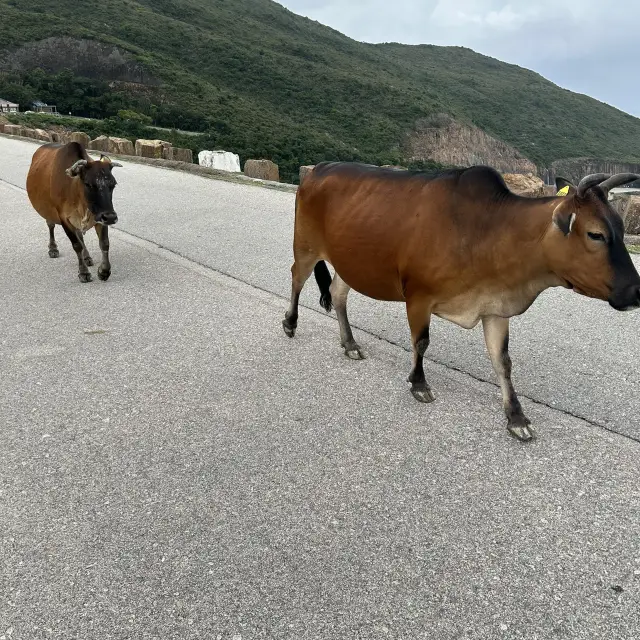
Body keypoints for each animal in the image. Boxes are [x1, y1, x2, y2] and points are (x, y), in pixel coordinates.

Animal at [26, 142, 121, 283]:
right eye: (88, 184)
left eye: (113, 184)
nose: (110, 217)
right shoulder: (64, 218)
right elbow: (76, 245)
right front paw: (83, 272)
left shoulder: (100, 217)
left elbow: (104, 243)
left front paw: (104, 271)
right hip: (49, 211)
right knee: (51, 225)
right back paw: (53, 248)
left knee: (80, 235)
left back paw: (87, 257)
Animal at [282, 162, 640, 442]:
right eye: (596, 234)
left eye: (622, 229)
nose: (636, 292)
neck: (487, 235)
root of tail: (317, 169)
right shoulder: (418, 296)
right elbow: (421, 342)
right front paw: (419, 383)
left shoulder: (495, 308)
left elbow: (503, 362)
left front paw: (516, 417)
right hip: (306, 245)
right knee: (297, 278)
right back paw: (290, 322)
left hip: (349, 262)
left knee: (338, 294)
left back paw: (350, 343)